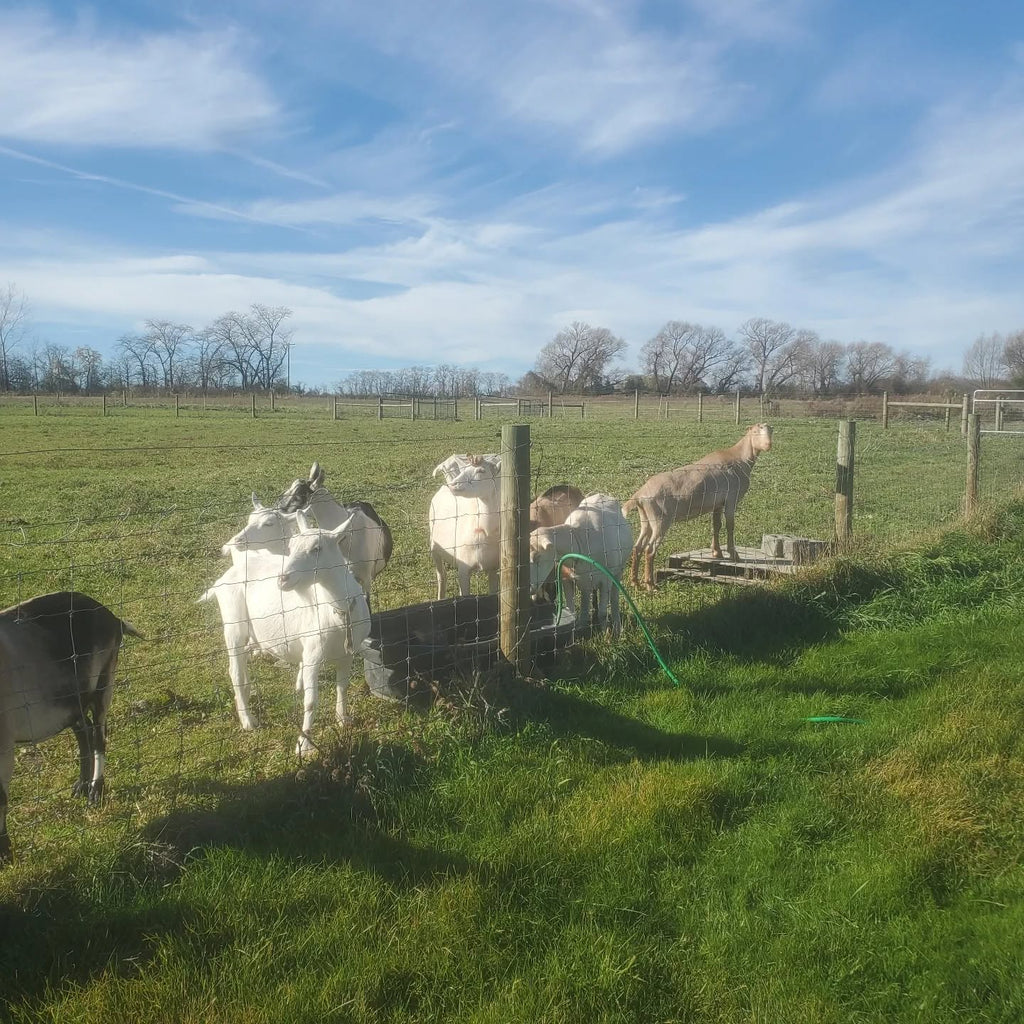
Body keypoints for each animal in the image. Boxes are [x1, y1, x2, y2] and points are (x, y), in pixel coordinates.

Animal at [0, 591, 140, 864]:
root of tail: (111, 617)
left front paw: (5, 854)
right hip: (71, 702)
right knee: (84, 732)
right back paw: (81, 786)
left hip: (104, 682)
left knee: (98, 736)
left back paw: (95, 791)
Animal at [199, 522, 370, 756]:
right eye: (290, 546)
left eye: (317, 548)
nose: (282, 579)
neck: (338, 611)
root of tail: (224, 578)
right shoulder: (312, 656)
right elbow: (311, 702)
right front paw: (304, 744)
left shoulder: (347, 655)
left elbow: (342, 687)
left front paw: (343, 719)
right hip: (233, 623)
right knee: (235, 671)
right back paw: (248, 720)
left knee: (243, 669)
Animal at [428, 454, 502, 600]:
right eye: (465, 469)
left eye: (482, 470)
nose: (453, 484)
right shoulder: (463, 568)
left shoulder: (493, 567)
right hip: (433, 545)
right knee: (441, 575)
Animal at [529, 494, 633, 637]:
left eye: (537, 557)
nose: (529, 588)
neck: (580, 540)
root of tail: (602, 494)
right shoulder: (566, 579)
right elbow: (572, 612)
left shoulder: (606, 580)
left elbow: (602, 613)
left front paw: (606, 636)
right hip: (586, 583)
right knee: (585, 605)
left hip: (618, 571)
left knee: (614, 598)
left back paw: (617, 628)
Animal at [623, 423, 773, 590]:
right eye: (755, 432)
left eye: (770, 431)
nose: (768, 445)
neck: (739, 458)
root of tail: (639, 495)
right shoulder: (731, 499)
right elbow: (730, 526)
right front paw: (734, 555)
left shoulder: (717, 504)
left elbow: (716, 525)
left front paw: (717, 553)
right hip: (661, 519)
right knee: (649, 550)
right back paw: (650, 585)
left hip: (646, 519)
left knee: (637, 547)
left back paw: (635, 582)